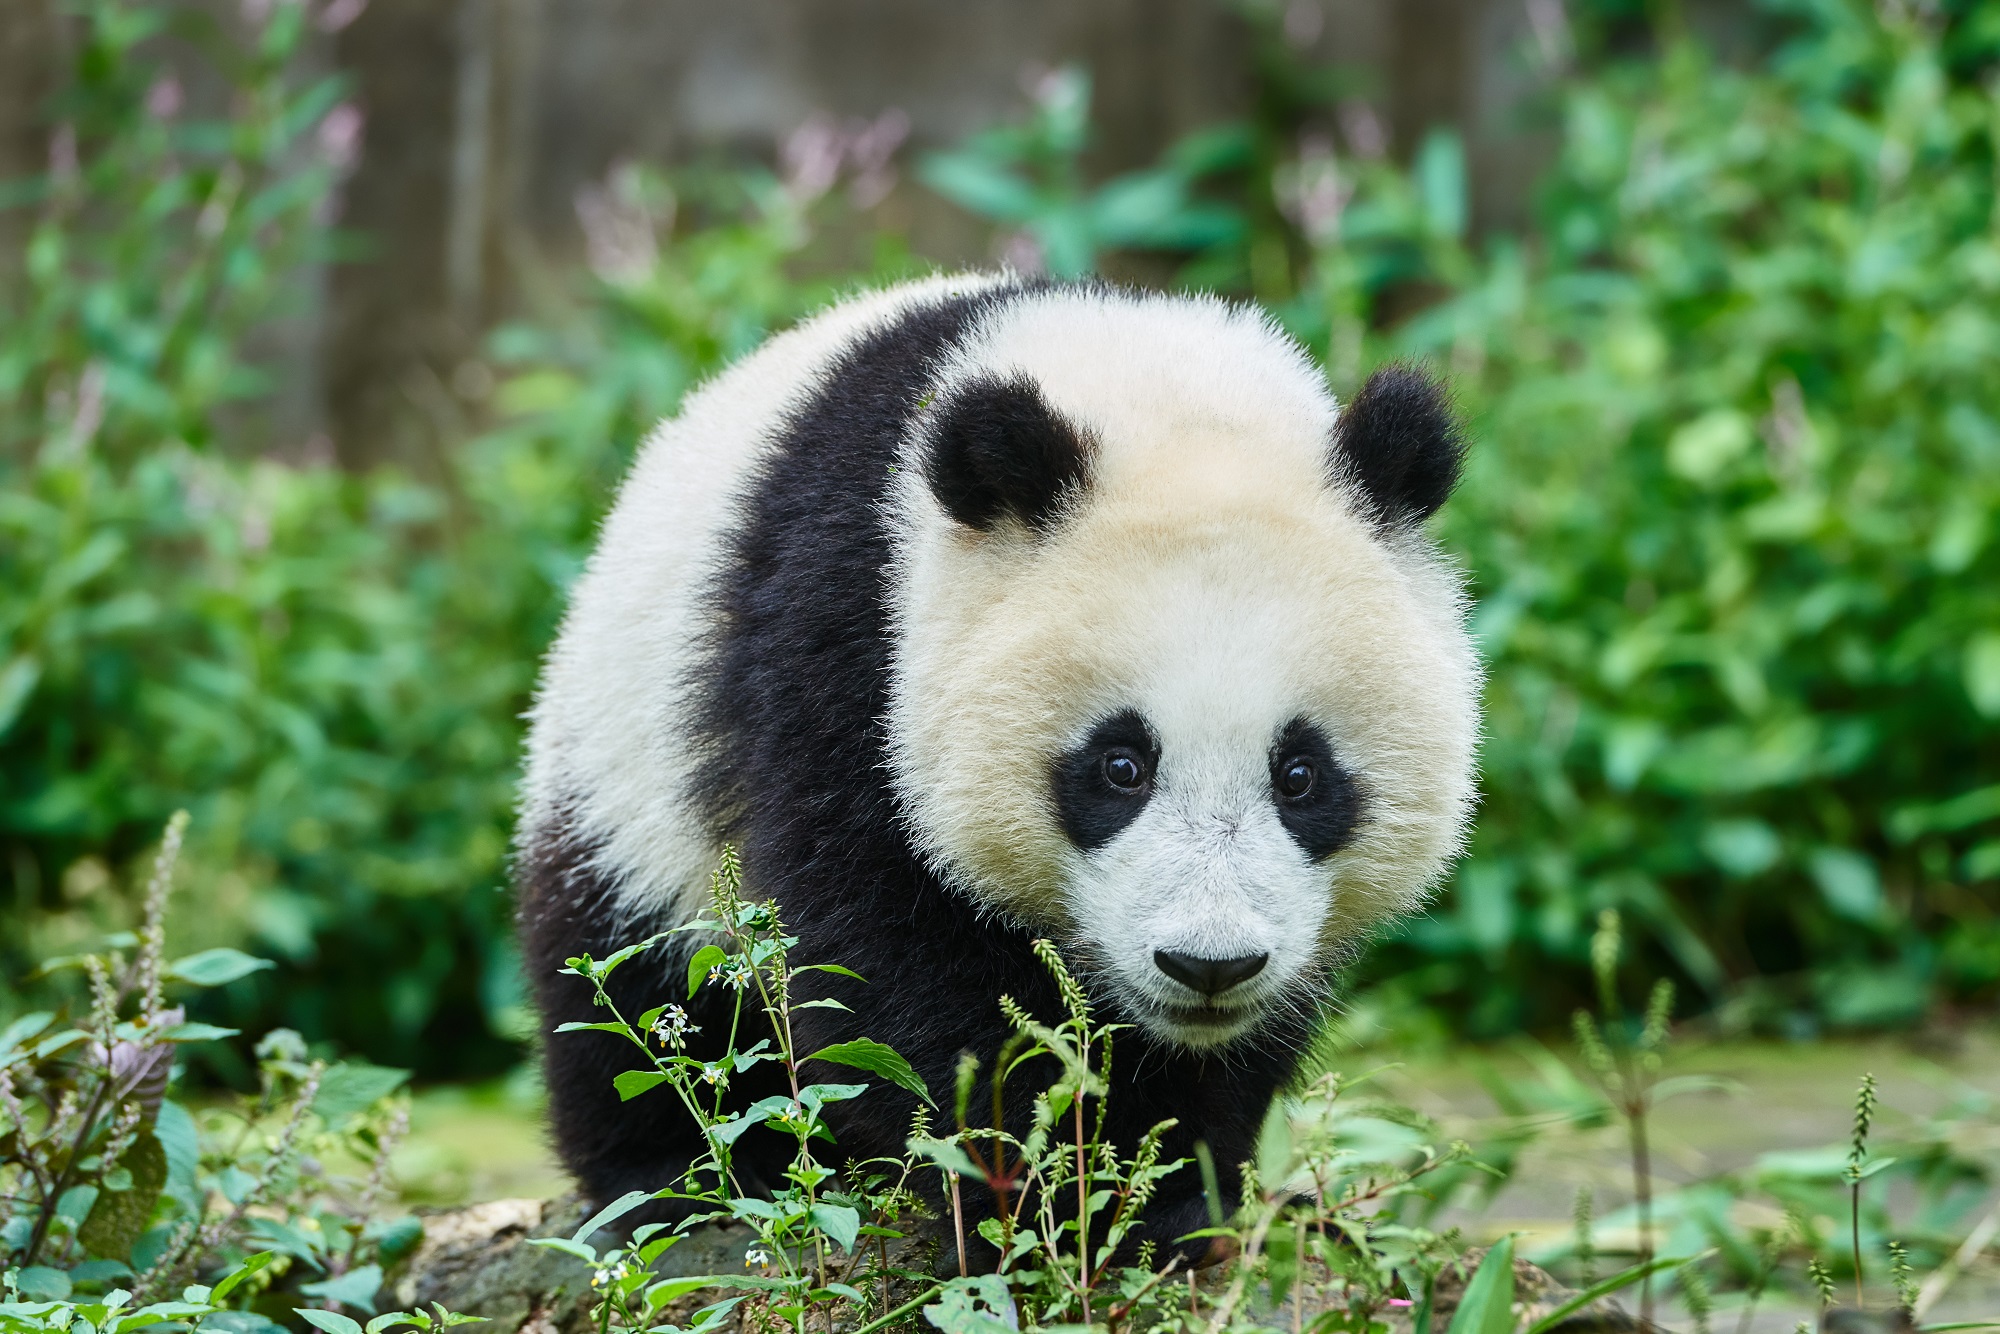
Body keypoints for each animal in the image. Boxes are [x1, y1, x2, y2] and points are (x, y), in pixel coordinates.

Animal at [517, 273, 1481, 1258]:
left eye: (1300, 776)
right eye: (1120, 767)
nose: (1208, 966)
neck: (1155, 392)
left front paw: (1170, 1192)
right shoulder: (852, 639)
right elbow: (881, 947)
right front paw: (1045, 1190)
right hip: (622, 761)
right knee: (623, 982)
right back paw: (674, 1180)